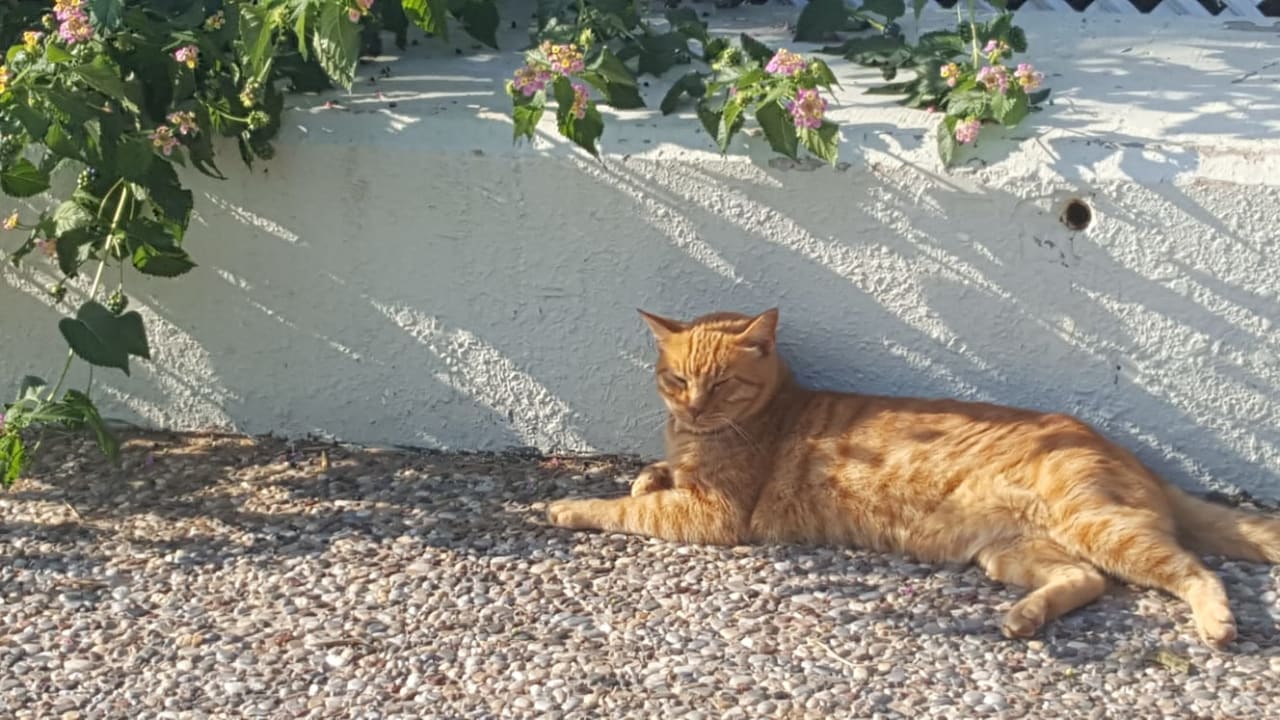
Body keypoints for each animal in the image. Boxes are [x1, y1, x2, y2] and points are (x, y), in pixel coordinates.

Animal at [547, 308, 1280, 648]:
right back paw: (1025, 617)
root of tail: (1132, 455)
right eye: (675, 379)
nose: (692, 406)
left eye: (721, 383)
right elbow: (651, 479)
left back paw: (1217, 622)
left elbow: (620, 508)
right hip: (1012, 554)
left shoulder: (715, 514)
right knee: (1087, 581)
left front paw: (568, 505)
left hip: (1101, 526)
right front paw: (648, 473)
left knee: (1193, 570)